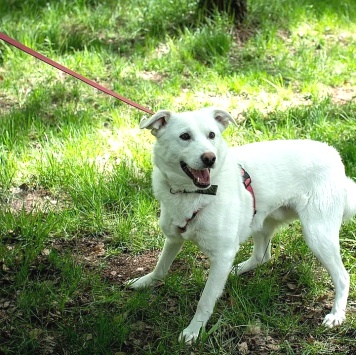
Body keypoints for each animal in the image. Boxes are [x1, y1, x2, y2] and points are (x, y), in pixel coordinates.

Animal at [129, 107, 356, 344]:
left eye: (212, 135)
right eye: (184, 136)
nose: (210, 158)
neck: (193, 194)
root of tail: (334, 154)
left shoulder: (223, 254)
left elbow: (205, 300)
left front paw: (194, 330)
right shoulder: (173, 238)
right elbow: (160, 268)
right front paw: (145, 282)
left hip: (317, 235)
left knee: (343, 276)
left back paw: (336, 314)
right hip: (261, 221)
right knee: (262, 257)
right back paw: (236, 270)